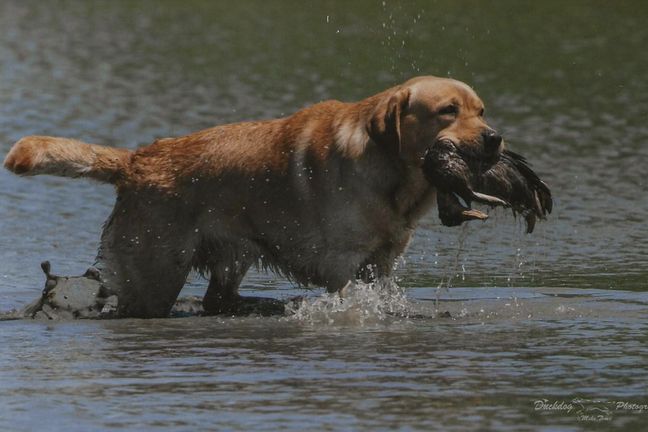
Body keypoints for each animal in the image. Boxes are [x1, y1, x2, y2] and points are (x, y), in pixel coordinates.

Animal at [4, 76, 542, 318]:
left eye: (480, 110)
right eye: (448, 111)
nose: (495, 140)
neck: (395, 176)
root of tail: (137, 158)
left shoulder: (381, 264)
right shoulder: (344, 267)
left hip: (231, 255)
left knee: (218, 298)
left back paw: (257, 306)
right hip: (154, 274)